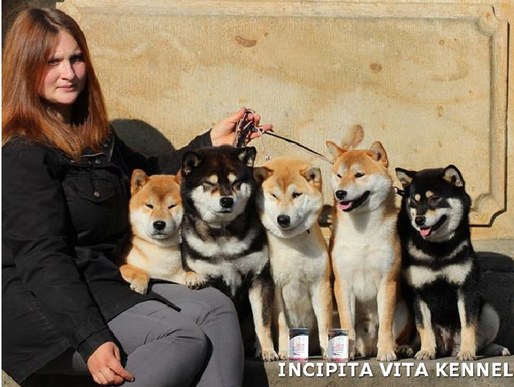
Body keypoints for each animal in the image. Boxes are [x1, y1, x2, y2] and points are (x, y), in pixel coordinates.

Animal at [179, 146, 276, 360]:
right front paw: (192, 278)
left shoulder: (259, 277)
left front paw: (267, 350)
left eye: (235, 182)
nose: (226, 201)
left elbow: (262, 322)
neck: (223, 235)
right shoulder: (211, 276)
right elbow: (191, 269)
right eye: (209, 183)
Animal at [253, 158, 332, 360]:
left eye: (296, 194)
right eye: (274, 195)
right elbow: (282, 325)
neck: (293, 244)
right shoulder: (276, 286)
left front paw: (328, 350)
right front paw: (283, 351)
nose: (283, 218)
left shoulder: (320, 284)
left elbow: (324, 323)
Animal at [328, 130, 408, 360]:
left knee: (395, 333)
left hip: (403, 311)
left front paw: (387, 352)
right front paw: (346, 353)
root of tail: (369, 346)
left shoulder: (387, 281)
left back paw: (400, 348)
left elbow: (386, 325)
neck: (362, 232)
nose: (340, 193)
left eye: (359, 175)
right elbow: (347, 324)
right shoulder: (343, 283)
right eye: (339, 175)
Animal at [394, 166, 506, 360]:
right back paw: (408, 348)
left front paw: (467, 352)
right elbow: (424, 327)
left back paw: (494, 348)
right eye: (414, 201)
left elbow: (468, 325)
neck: (437, 250)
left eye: (434, 198)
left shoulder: (467, 289)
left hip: (490, 313)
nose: (419, 220)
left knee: (481, 342)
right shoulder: (418, 293)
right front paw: (426, 350)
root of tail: (448, 346)